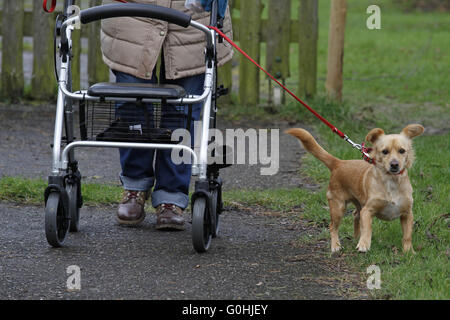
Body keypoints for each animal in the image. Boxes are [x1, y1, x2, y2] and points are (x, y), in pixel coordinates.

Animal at [286, 124, 424, 252]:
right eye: (385, 151)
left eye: (402, 151)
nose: (394, 165)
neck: (391, 181)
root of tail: (339, 163)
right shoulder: (367, 210)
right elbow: (368, 228)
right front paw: (364, 244)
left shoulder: (407, 214)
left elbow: (407, 236)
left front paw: (409, 252)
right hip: (338, 208)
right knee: (333, 226)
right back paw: (336, 245)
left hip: (358, 204)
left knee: (356, 215)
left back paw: (356, 237)